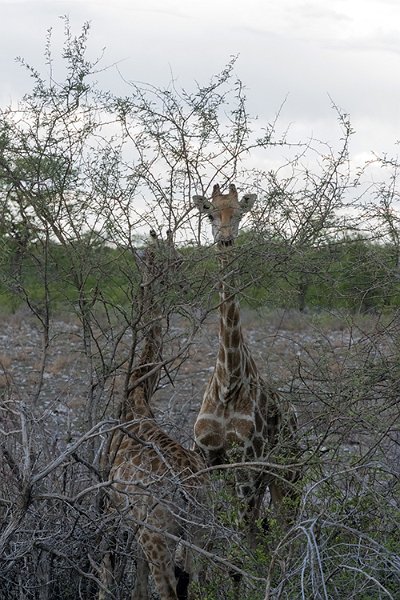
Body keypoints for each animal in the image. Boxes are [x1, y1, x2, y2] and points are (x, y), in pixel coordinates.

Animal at [100, 231, 208, 600]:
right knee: (195, 581)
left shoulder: (110, 504)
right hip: (199, 532)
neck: (138, 394)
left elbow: (108, 571)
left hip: (158, 534)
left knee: (169, 589)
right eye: (175, 260)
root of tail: (190, 491)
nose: (187, 285)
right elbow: (137, 586)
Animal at [192, 183, 302, 540]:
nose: (226, 239)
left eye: (239, 213)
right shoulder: (209, 459)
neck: (228, 382)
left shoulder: (248, 462)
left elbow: (244, 540)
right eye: (210, 214)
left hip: (287, 473)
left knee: (284, 528)